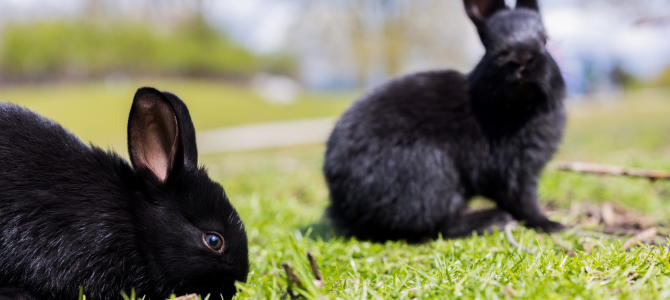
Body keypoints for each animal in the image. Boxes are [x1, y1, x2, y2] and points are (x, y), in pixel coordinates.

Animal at [326, 0, 568, 241]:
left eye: (545, 39)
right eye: (491, 44)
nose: (521, 59)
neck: (517, 106)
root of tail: (344, 205)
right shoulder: (513, 170)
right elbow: (523, 202)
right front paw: (552, 225)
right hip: (431, 174)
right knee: (437, 225)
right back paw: (492, 220)